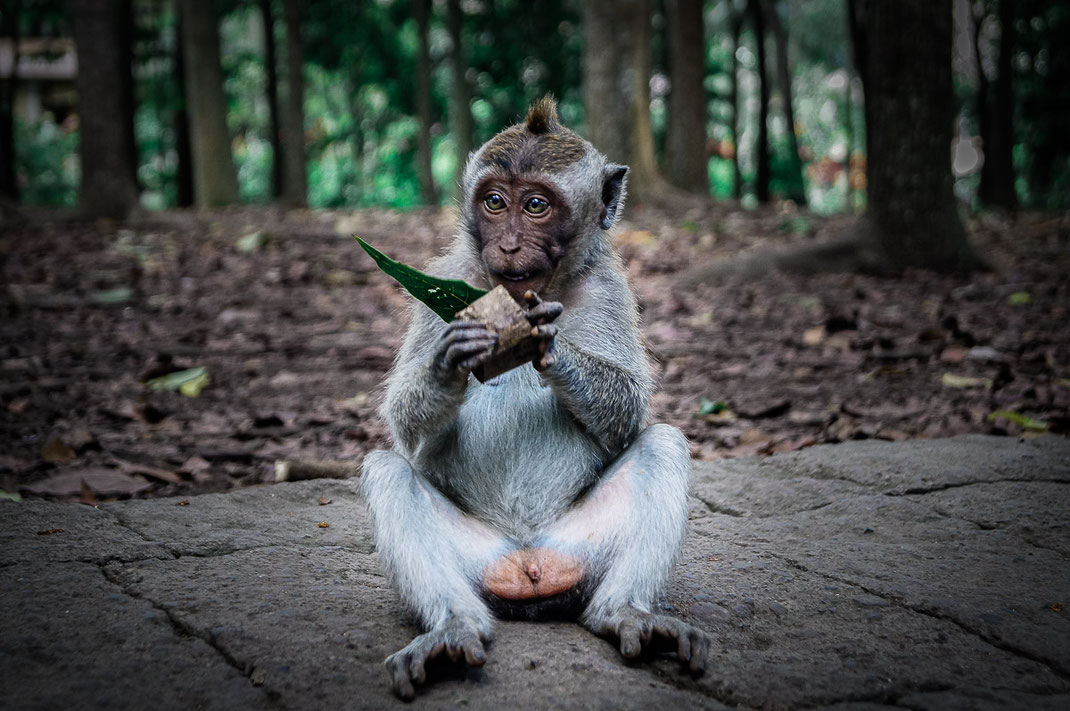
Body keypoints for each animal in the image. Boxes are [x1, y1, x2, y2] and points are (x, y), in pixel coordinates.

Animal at [361, 94, 710, 698]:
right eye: (495, 202)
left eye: (537, 205)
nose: (508, 244)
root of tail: (528, 564)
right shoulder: (448, 275)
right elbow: (405, 426)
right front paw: (451, 359)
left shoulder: (608, 286)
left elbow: (629, 410)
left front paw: (548, 343)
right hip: (480, 557)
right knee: (389, 472)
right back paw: (453, 628)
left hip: (579, 546)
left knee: (663, 444)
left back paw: (627, 612)